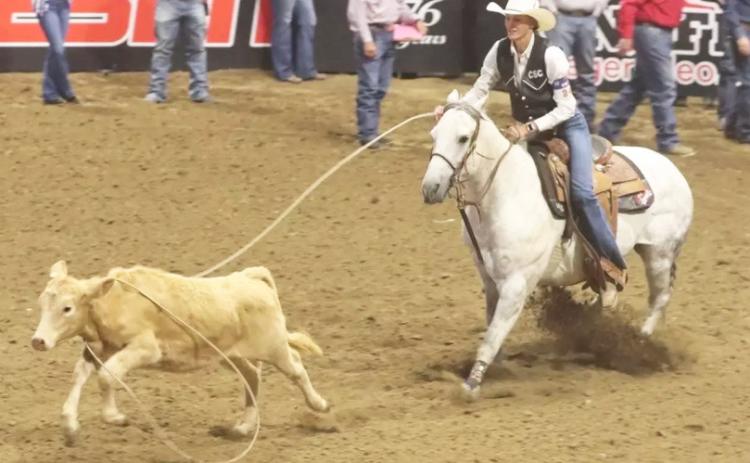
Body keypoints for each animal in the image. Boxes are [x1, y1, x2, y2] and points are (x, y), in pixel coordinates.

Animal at [31, 260, 330, 445]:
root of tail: (250, 278)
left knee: (296, 368)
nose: (38, 341)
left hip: (274, 346)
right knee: (252, 375)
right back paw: (243, 427)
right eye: (42, 303)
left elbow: (107, 376)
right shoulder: (99, 349)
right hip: (230, 354)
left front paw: (115, 417)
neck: (111, 302)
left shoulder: (145, 348)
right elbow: (80, 375)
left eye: (67, 308)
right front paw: (70, 426)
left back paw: (321, 407)